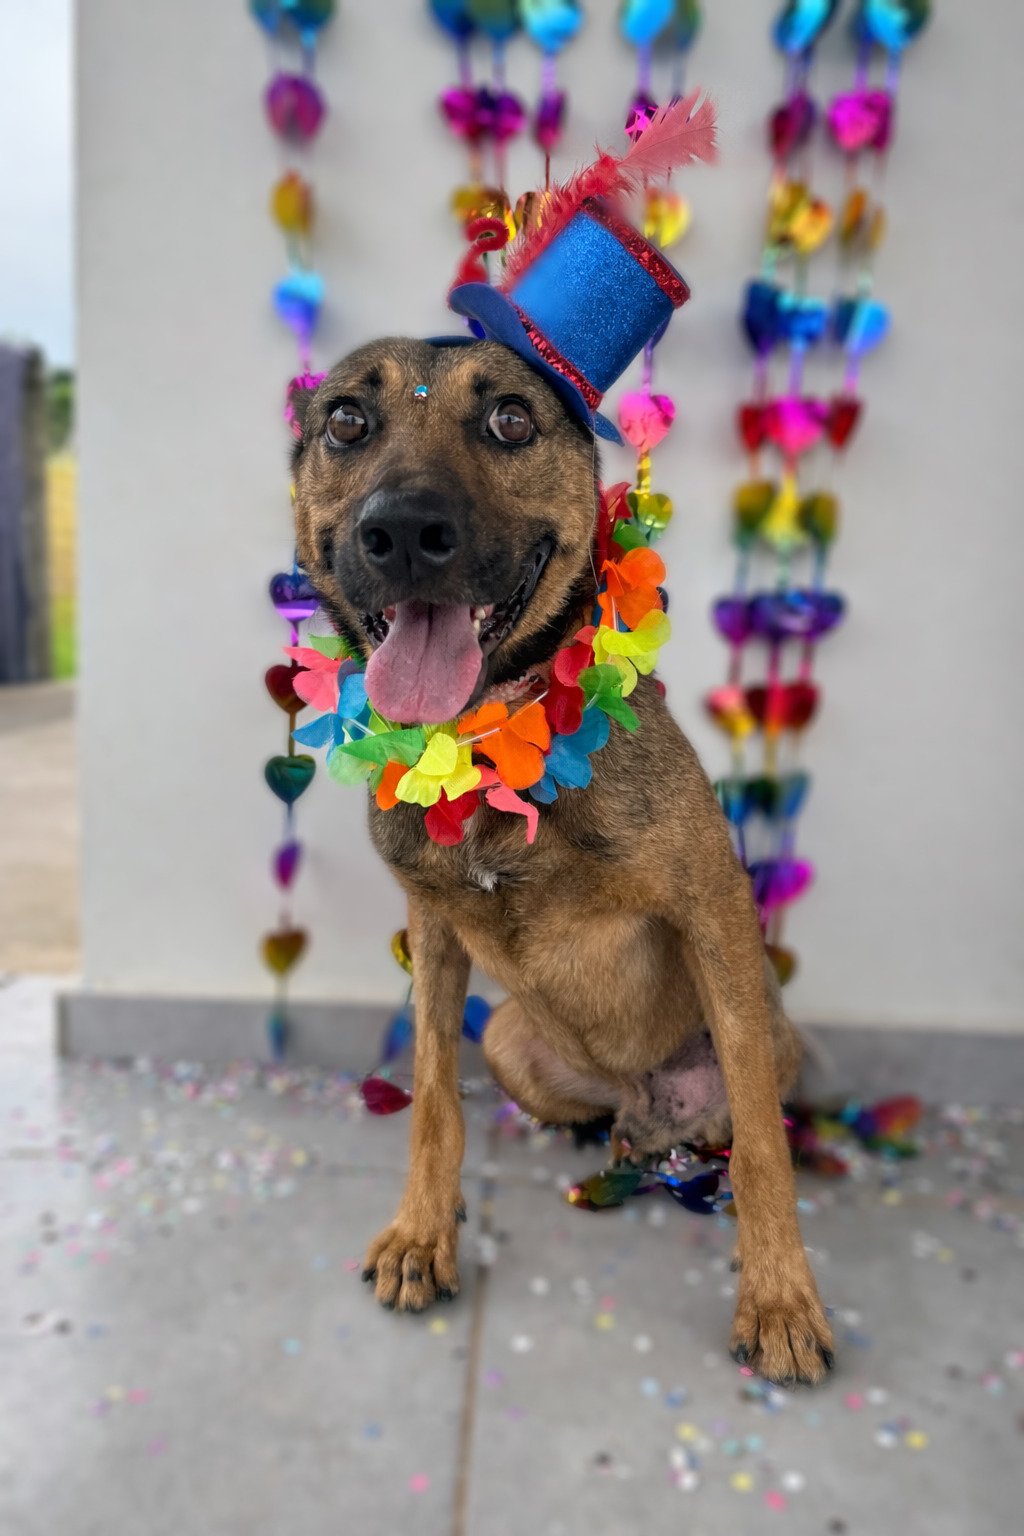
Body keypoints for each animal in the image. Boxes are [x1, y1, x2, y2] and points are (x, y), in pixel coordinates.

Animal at [290, 336, 835, 1387]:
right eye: (345, 421)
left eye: (511, 418)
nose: (404, 532)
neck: (490, 739)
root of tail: (644, 1105)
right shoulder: (433, 930)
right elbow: (433, 1099)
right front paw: (424, 1232)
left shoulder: (714, 910)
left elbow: (763, 1148)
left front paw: (781, 1297)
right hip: (509, 1039)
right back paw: (595, 1131)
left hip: (775, 1031)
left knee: (740, 1112)